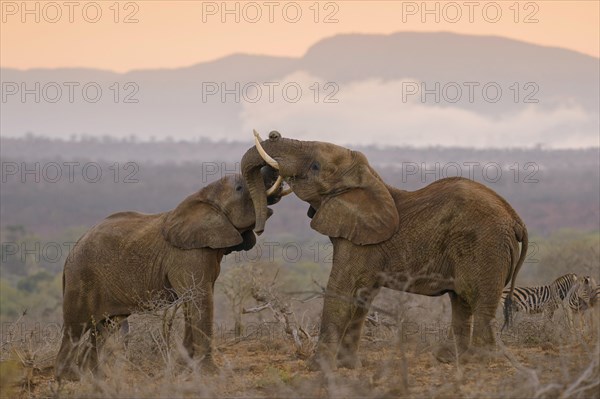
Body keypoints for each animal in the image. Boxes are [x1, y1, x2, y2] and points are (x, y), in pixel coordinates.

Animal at [55, 172, 282, 382]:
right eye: (239, 188)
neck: (204, 196)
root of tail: (70, 253)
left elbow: (193, 303)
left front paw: (183, 369)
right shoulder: (187, 254)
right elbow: (200, 299)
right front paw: (210, 374)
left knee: (103, 329)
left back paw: (96, 378)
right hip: (82, 277)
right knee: (76, 328)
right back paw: (68, 378)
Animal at [241, 132, 528, 372]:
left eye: (315, 167)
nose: (273, 134)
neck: (369, 179)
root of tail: (515, 219)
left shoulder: (362, 242)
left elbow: (340, 291)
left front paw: (318, 369)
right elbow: (362, 297)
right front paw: (348, 366)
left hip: (485, 245)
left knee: (478, 299)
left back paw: (478, 362)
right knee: (462, 301)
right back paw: (451, 360)